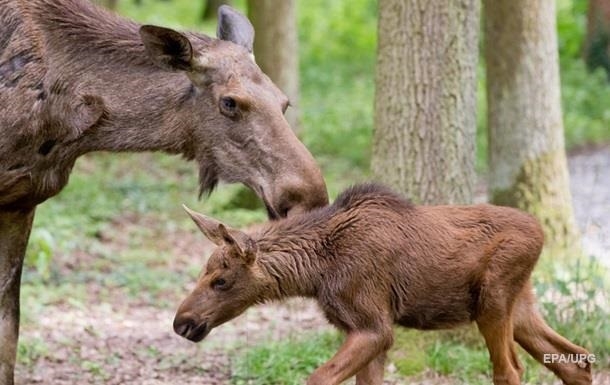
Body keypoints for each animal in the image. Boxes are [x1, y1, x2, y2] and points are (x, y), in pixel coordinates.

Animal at [173, 183, 592, 384]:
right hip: (520, 305)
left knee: (510, 371)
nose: (181, 322)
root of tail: (542, 232)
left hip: (493, 300)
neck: (315, 273)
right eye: (203, 271)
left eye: (221, 280)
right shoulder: (366, 331)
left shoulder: (375, 327)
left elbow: (317, 378)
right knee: (578, 361)